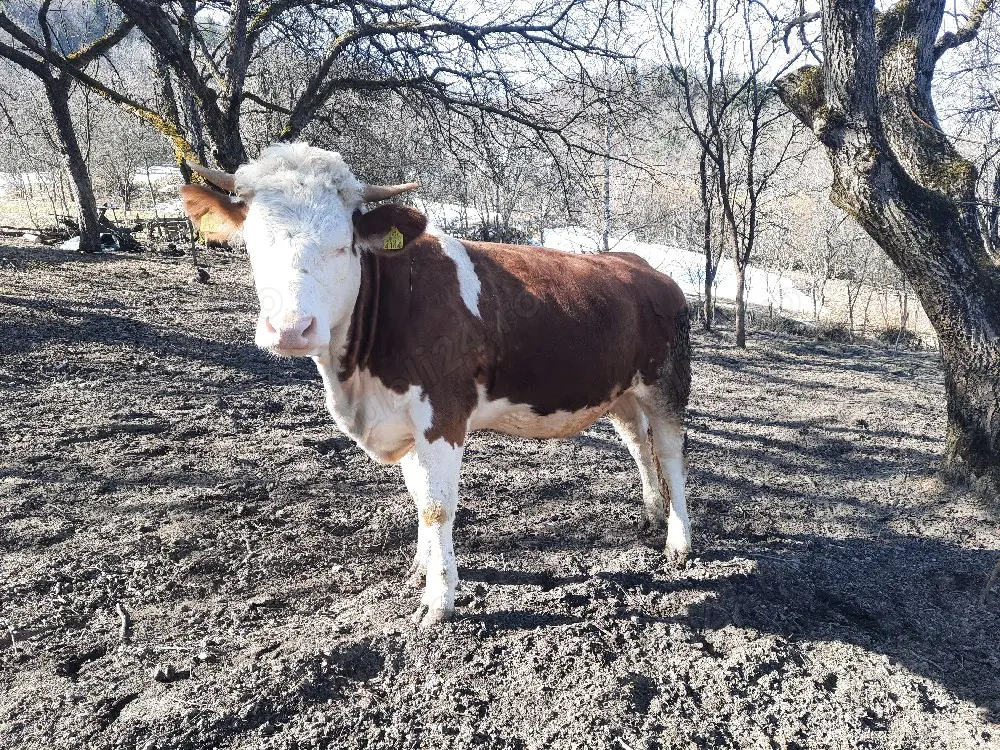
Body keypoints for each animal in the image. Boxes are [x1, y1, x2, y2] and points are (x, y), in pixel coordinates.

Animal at [180, 143, 691, 627]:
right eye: (253, 243)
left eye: (343, 245)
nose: (290, 329)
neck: (357, 380)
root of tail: (642, 265)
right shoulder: (404, 421)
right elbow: (418, 495)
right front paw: (421, 568)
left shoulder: (442, 413)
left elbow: (436, 506)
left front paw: (438, 601)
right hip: (621, 391)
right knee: (638, 445)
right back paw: (651, 513)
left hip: (667, 383)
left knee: (670, 453)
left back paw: (679, 540)